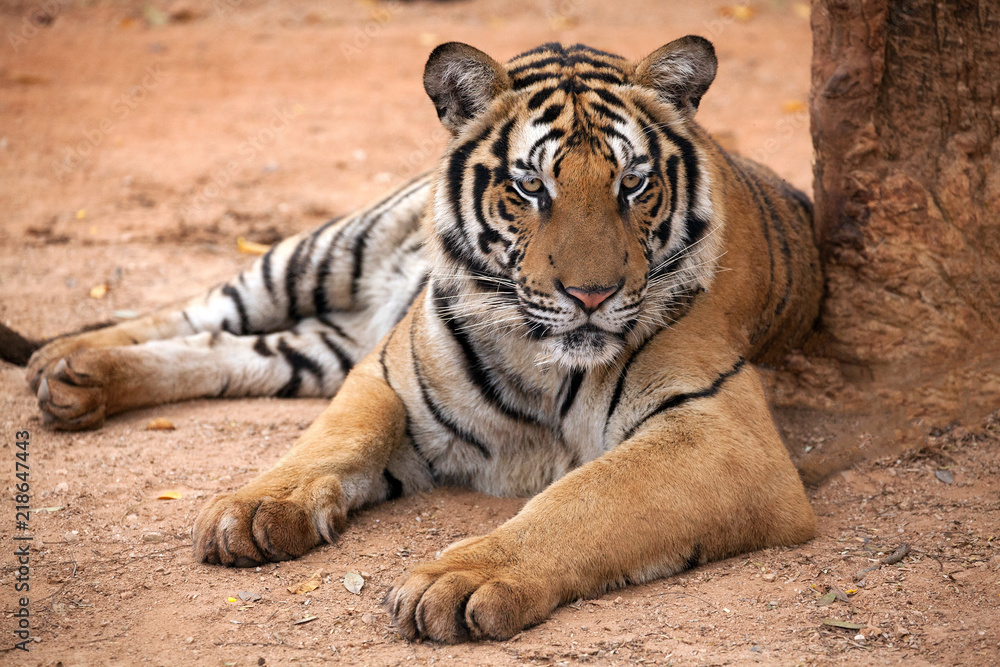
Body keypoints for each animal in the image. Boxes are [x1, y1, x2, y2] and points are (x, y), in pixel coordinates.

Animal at [19, 37, 822, 643]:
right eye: (531, 187)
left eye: (633, 184)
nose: (590, 295)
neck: (541, 360)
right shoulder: (387, 373)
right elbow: (333, 437)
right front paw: (252, 509)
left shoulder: (720, 430)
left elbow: (584, 498)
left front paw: (461, 579)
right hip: (321, 256)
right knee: (202, 308)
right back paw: (62, 363)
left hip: (316, 345)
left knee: (227, 352)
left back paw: (79, 379)